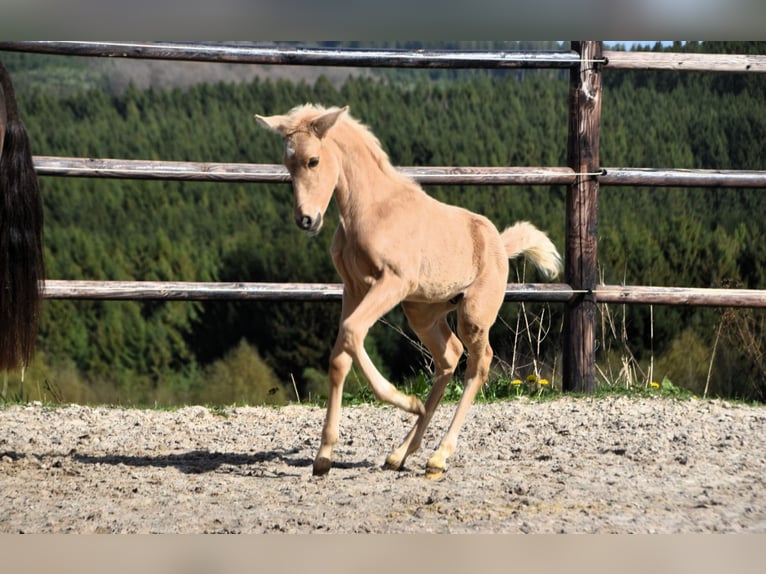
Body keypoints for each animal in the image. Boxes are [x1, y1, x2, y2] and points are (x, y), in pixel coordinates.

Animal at [255, 104, 560, 482]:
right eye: (287, 164)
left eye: (313, 160)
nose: (306, 220)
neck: (371, 210)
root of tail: (501, 247)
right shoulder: (354, 288)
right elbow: (340, 357)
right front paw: (323, 456)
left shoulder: (392, 283)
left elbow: (353, 333)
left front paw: (406, 402)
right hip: (423, 312)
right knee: (449, 357)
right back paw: (400, 453)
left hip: (473, 315)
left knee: (479, 364)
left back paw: (438, 456)